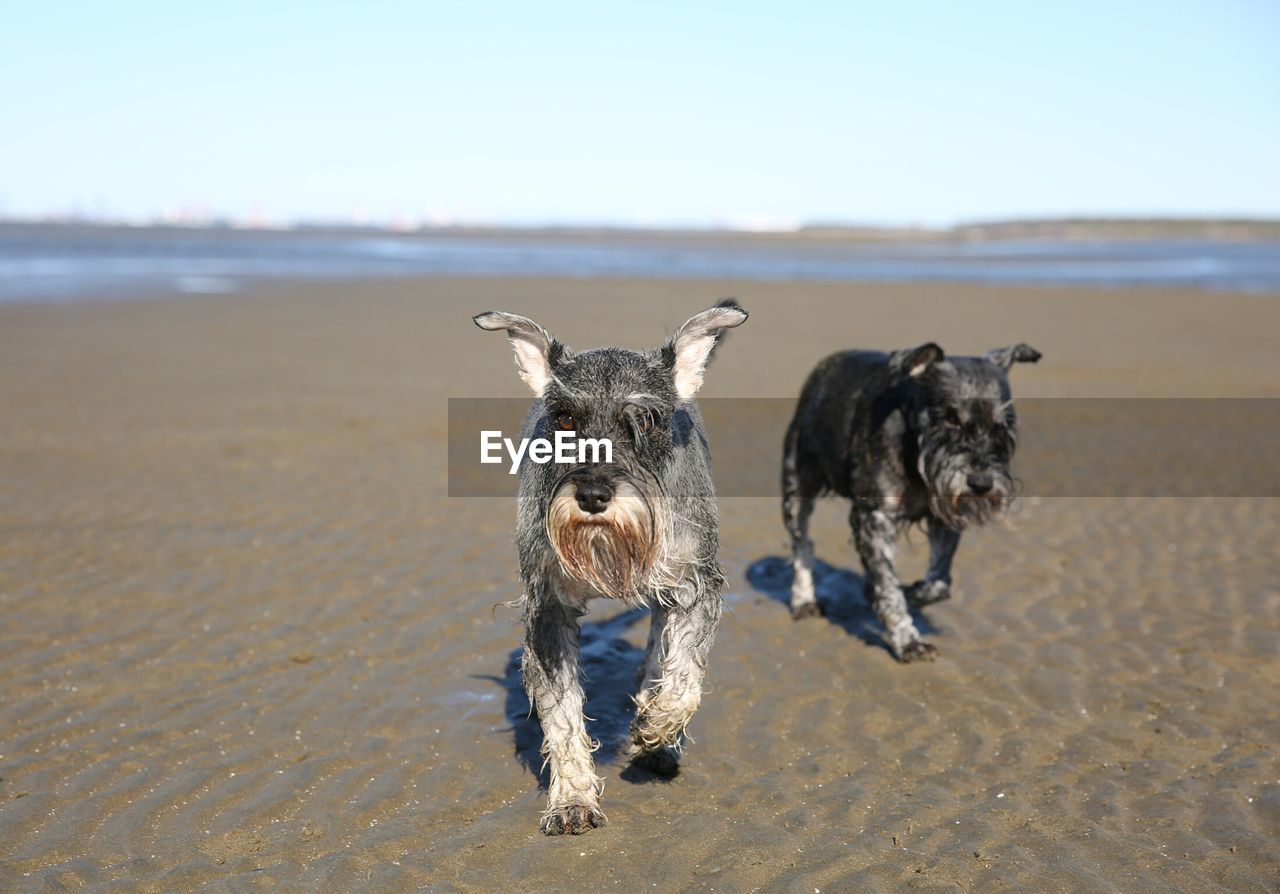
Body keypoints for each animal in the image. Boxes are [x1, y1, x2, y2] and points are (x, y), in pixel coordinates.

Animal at [476, 297, 747, 829]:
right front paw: (572, 799)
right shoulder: (549, 606)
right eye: (563, 418)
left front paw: (656, 726)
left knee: (658, 649)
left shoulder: (695, 584)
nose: (593, 494)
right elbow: (562, 710)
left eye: (648, 420)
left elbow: (684, 675)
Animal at [778, 340, 1039, 660]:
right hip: (797, 487)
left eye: (1002, 426)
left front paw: (917, 592)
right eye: (950, 418)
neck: (916, 455)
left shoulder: (944, 513)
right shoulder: (873, 516)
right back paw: (804, 600)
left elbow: (940, 578)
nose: (980, 483)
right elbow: (890, 589)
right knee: (802, 543)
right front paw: (908, 640)